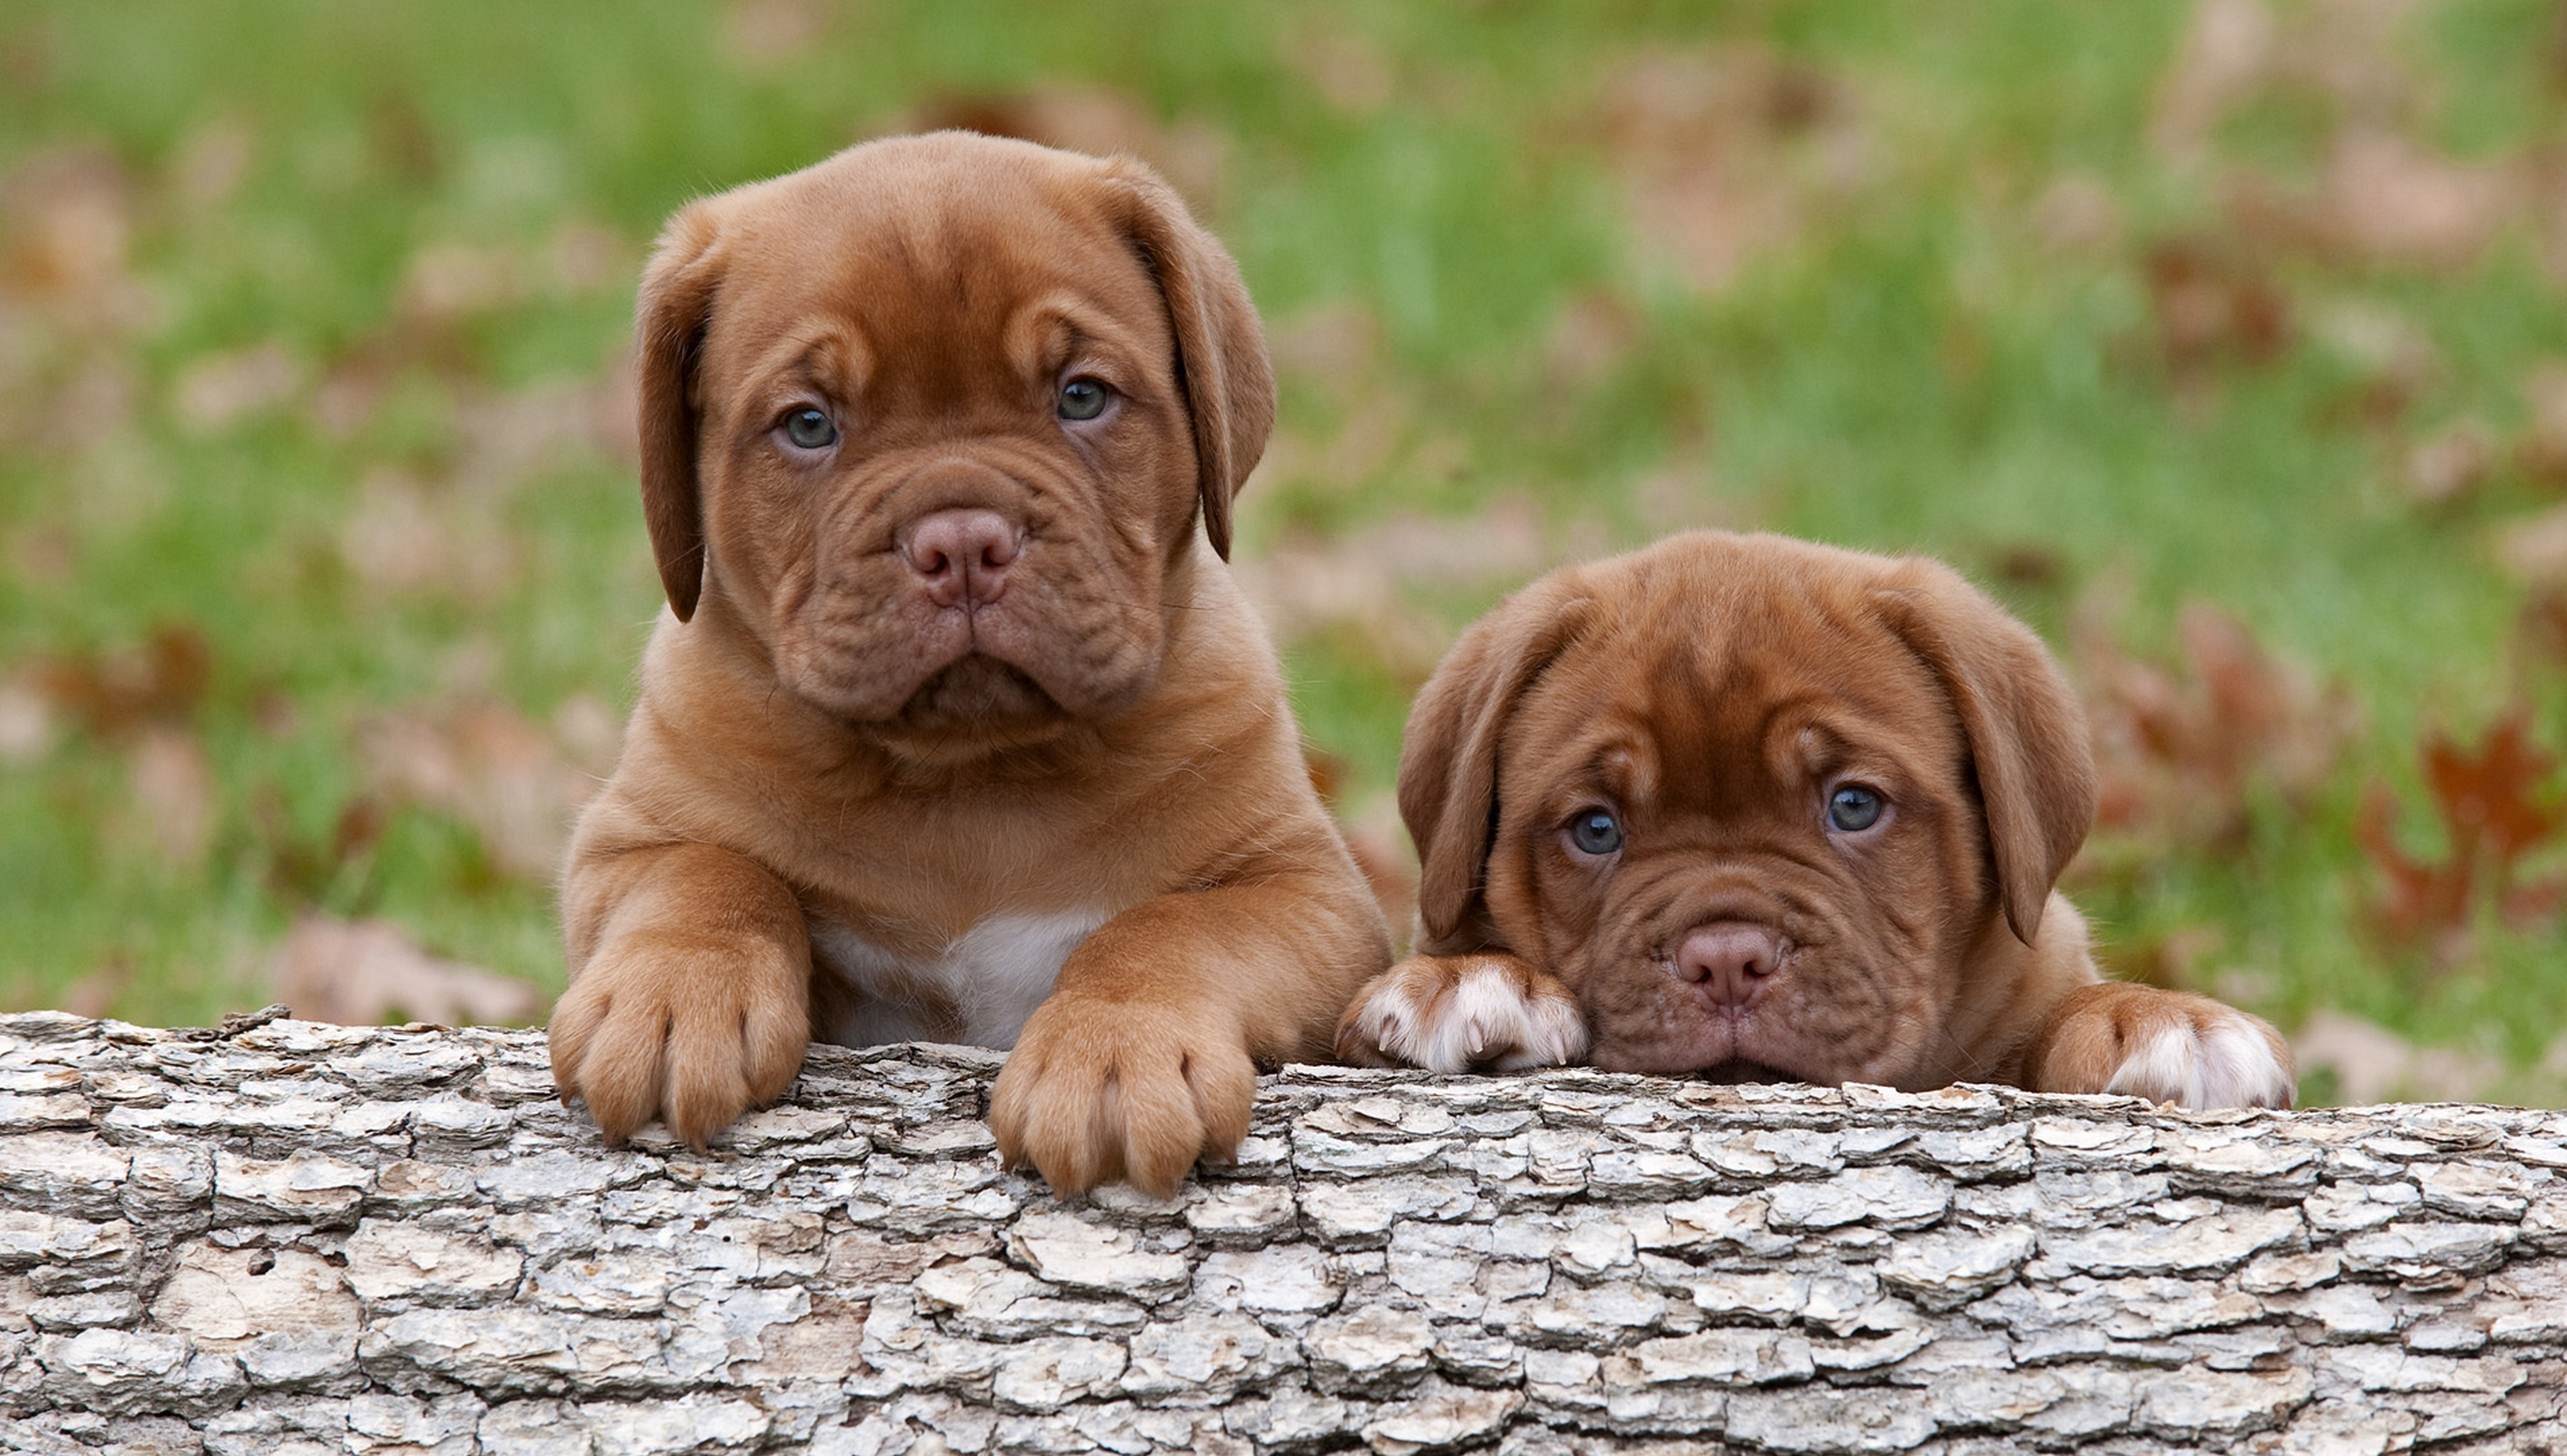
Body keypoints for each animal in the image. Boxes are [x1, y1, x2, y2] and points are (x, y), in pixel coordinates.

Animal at [551, 131, 1396, 1191]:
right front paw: (672, 1000)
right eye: (809, 424)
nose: (960, 542)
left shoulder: (1307, 894)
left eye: (1082, 397)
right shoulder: (627, 843)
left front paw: (1115, 1051)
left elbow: (1169, 930)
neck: (970, 777)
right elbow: (707, 876)